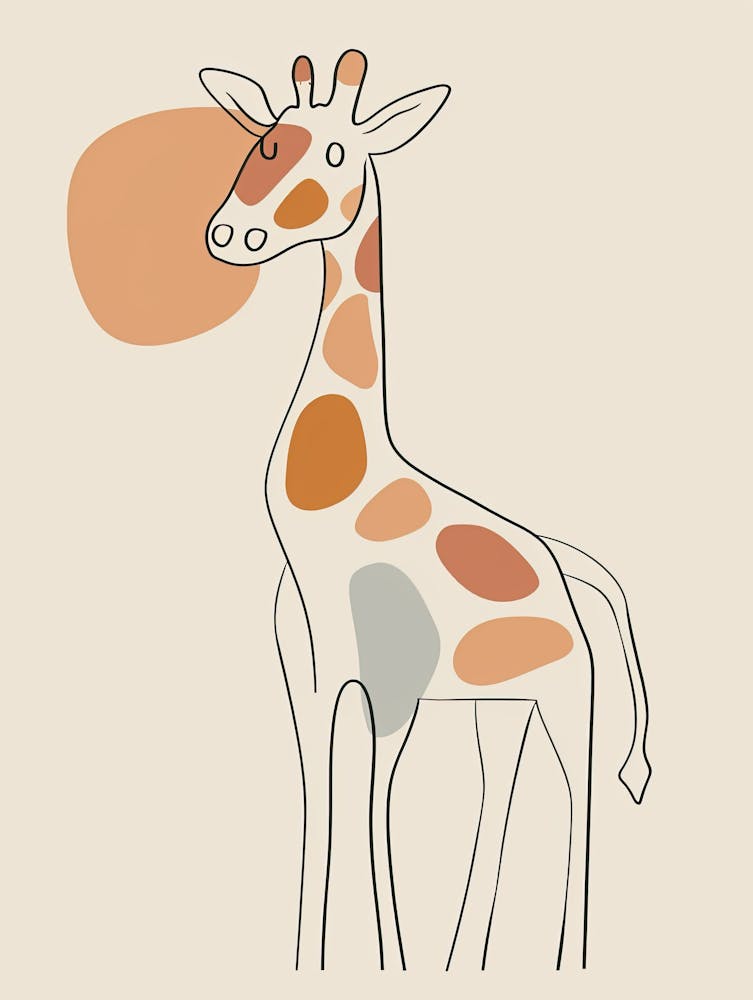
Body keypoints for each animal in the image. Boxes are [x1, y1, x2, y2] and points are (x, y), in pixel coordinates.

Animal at [200, 49, 651, 972]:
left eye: (336, 154)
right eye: (264, 140)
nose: (231, 236)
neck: (331, 523)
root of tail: (566, 562)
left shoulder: (393, 691)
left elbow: (373, 819)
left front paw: (387, 964)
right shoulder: (307, 687)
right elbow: (321, 816)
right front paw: (312, 962)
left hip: (569, 698)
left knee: (580, 798)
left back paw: (566, 962)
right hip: (498, 707)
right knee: (498, 793)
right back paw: (467, 960)